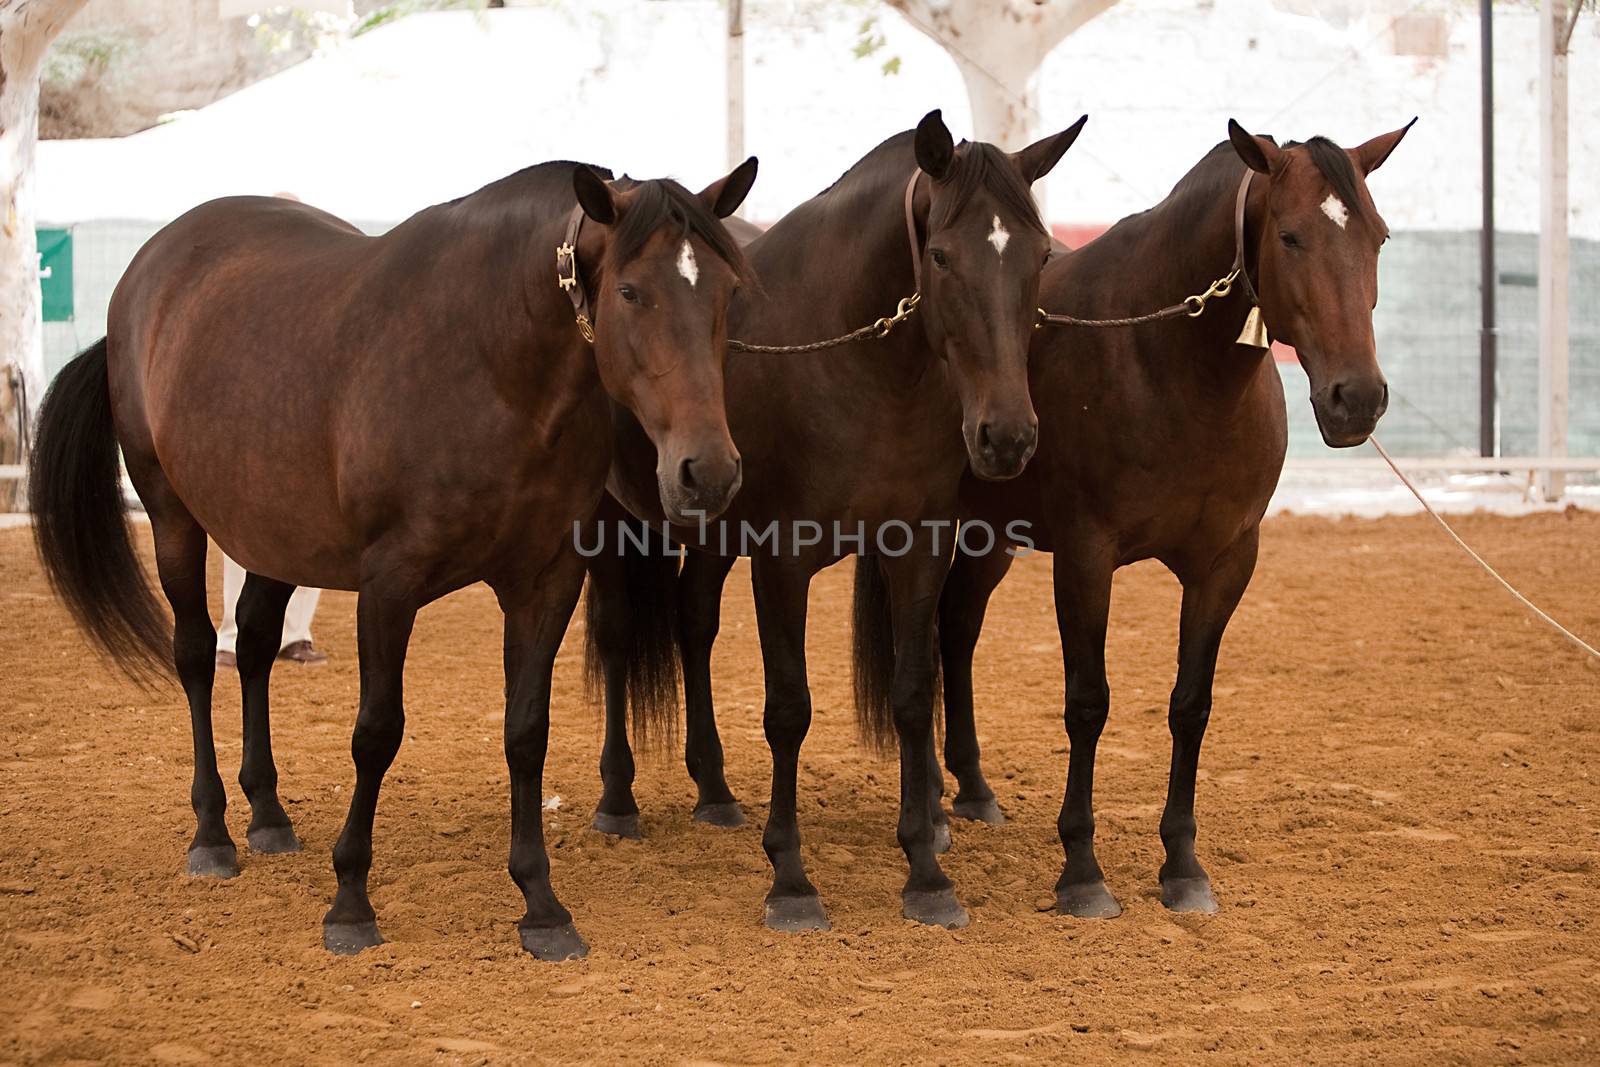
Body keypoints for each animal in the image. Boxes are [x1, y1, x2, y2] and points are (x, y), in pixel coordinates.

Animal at [26, 156, 761, 959]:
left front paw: (541, 903)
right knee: (195, 654)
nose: (708, 472)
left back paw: (268, 814)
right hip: (172, 516)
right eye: (630, 290)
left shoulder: (546, 582)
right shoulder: (389, 584)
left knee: (252, 645)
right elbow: (376, 732)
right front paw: (350, 899)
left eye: (728, 291)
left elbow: (525, 732)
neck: (489, 367)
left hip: (274, 536)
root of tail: (145, 272)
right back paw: (214, 832)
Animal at [588, 110, 1088, 934]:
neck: (850, 368)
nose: (1008, 436)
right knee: (618, 634)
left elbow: (914, 694)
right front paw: (791, 880)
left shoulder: (917, 547)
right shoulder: (782, 561)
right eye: (941, 255)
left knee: (693, 625)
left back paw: (714, 790)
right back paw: (618, 797)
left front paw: (925, 871)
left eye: (1042, 254)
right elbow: (789, 709)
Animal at [934, 116, 1414, 921]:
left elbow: (1192, 704)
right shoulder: (1085, 558)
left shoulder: (1226, 563)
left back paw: (971, 790)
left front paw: (1183, 865)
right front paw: (1082, 870)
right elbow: (1088, 702)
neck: (1164, 363)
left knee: (957, 629)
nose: (1358, 398)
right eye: (1290, 236)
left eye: (1377, 236)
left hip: (989, 536)